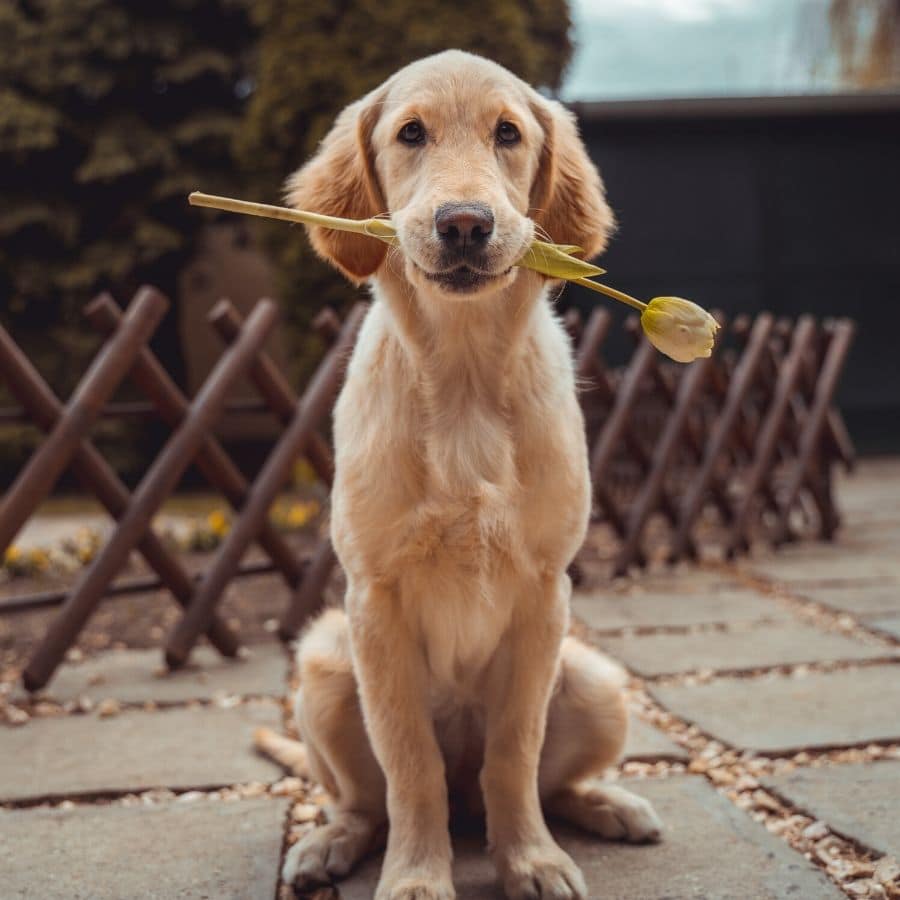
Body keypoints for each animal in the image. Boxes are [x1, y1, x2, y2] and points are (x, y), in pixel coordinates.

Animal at [253, 51, 660, 900]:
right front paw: (416, 877)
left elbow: (515, 752)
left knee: (544, 783)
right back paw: (327, 844)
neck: (467, 374)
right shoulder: (374, 601)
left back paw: (607, 805)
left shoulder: (544, 594)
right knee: (366, 799)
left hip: (596, 681)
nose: (465, 223)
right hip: (325, 665)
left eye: (508, 133)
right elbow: (412, 767)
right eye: (411, 134)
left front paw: (530, 861)